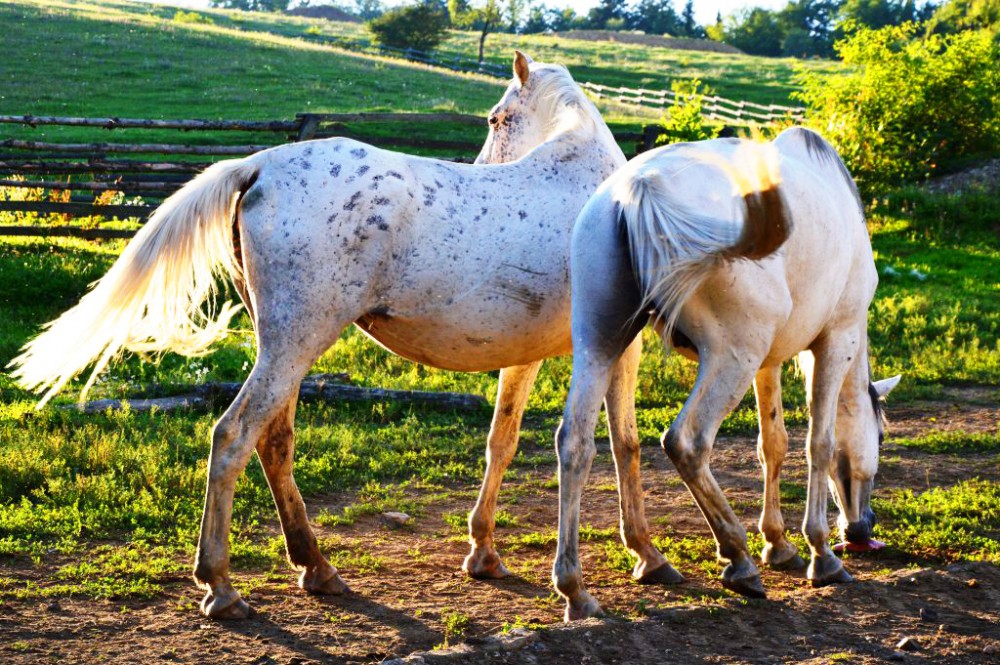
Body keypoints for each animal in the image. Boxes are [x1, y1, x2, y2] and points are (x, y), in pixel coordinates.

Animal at [9, 54, 680, 620]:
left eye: (496, 119)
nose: (483, 166)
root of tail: (260, 166)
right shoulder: (616, 347)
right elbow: (623, 444)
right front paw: (643, 556)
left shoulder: (529, 356)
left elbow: (504, 442)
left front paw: (485, 553)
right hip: (296, 342)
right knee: (233, 436)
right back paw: (222, 588)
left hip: (285, 345)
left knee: (273, 441)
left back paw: (317, 568)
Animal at [552, 127, 904, 620]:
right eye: (883, 437)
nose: (862, 529)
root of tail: (641, 188)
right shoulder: (837, 341)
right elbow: (820, 443)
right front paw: (820, 555)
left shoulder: (770, 362)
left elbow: (773, 444)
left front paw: (778, 544)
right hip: (731, 358)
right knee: (686, 441)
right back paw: (737, 559)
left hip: (601, 344)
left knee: (578, 444)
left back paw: (579, 588)